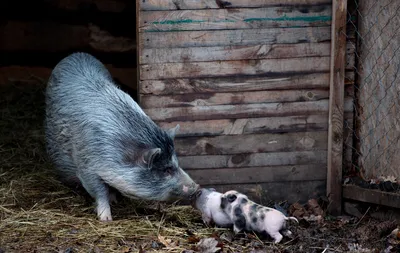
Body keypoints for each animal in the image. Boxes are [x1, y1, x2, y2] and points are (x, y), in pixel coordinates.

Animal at [44, 52, 199, 221]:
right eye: (166, 170)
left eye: (176, 164)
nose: (197, 187)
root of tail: (77, 54)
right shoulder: (86, 165)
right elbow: (99, 191)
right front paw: (106, 219)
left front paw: (114, 200)